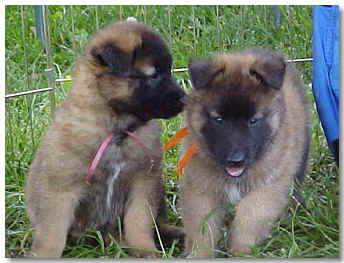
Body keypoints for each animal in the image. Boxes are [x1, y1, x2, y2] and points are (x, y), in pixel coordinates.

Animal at [24, 21, 185, 260]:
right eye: (153, 75)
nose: (185, 99)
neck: (117, 130)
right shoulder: (60, 188)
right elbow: (51, 234)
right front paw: (45, 255)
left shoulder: (143, 182)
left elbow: (139, 221)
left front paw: (145, 250)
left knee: (157, 223)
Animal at [180, 49, 310, 258]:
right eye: (218, 119)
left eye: (253, 120)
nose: (235, 160)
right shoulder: (201, 188)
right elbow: (201, 228)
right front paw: (199, 254)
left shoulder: (268, 185)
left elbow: (249, 219)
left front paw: (241, 251)